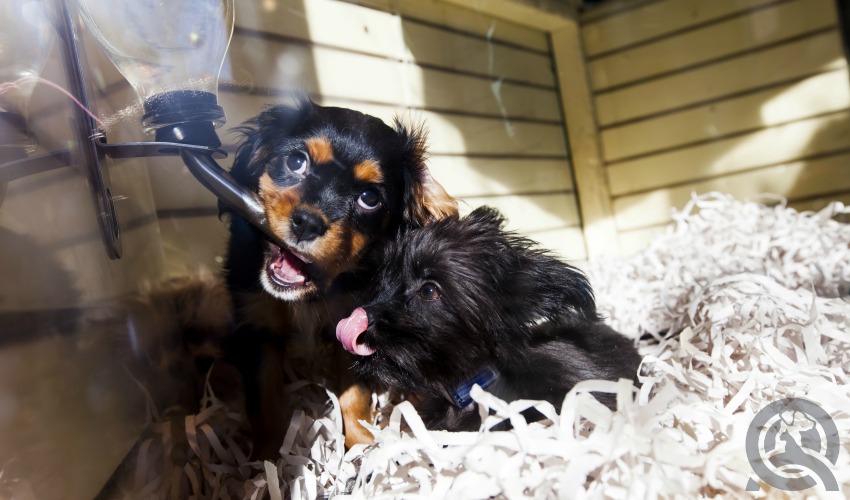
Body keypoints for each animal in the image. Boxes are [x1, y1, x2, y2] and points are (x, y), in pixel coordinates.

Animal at [220, 97, 458, 458]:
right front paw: (265, 461)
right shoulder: (259, 329)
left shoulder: (352, 328)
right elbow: (265, 403)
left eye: (369, 199)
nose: (307, 223)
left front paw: (361, 448)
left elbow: (354, 397)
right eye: (296, 161)